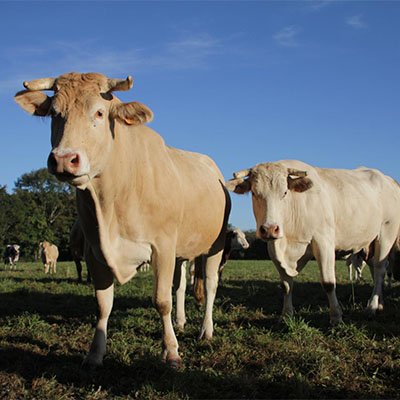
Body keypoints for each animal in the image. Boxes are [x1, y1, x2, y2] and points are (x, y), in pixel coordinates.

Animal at [14, 72, 231, 368]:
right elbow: (103, 304)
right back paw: (181, 321)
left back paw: (205, 330)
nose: (64, 160)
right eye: (55, 114)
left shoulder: (162, 246)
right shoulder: (95, 251)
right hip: (181, 251)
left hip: (214, 245)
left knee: (209, 285)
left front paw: (171, 351)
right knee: (180, 287)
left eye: (99, 112)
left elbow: (161, 300)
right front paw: (95, 353)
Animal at [227, 160, 400, 324]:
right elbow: (286, 285)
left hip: (386, 233)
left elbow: (328, 283)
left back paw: (372, 307)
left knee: (380, 269)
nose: (270, 229)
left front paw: (336, 317)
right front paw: (286, 315)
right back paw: (380, 303)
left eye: (284, 192)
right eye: (254, 193)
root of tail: (389, 180)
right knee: (375, 270)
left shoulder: (324, 243)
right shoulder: (273, 249)